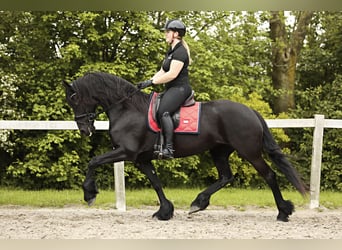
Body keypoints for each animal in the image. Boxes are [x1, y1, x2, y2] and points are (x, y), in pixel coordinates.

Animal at [62, 71, 308, 222]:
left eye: (74, 99)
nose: (84, 129)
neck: (127, 109)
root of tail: (250, 111)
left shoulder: (125, 152)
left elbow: (93, 161)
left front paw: (89, 194)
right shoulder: (142, 159)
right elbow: (156, 183)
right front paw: (164, 211)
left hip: (250, 152)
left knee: (269, 175)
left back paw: (283, 212)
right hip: (219, 151)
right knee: (226, 177)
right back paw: (198, 203)